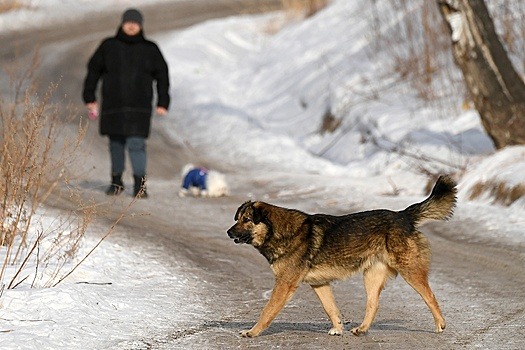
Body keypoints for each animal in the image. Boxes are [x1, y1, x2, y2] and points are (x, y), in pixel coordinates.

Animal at [227, 176, 456, 338]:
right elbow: (331, 309)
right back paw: (361, 329)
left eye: (247, 220)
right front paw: (338, 329)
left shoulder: (284, 284)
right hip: (371, 277)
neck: (278, 232)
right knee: (373, 304)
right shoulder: (319, 284)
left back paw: (440, 324)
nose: (229, 232)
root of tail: (403, 215)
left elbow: (267, 311)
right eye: (238, 218)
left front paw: (252, 332)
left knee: (430, 296)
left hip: (410, 271)